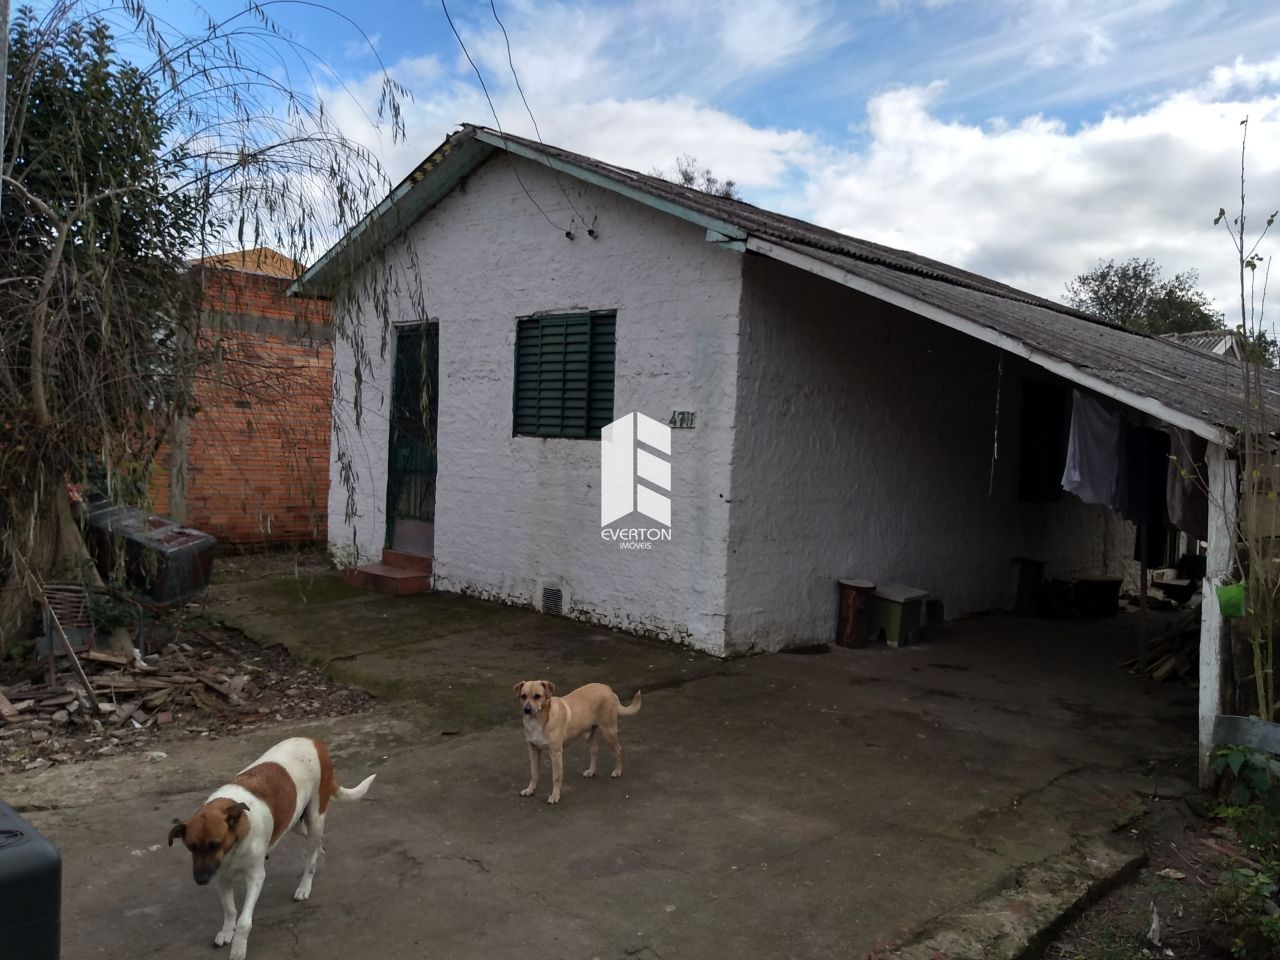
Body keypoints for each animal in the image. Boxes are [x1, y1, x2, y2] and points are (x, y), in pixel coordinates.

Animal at [167, 742, 373, 957]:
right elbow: (230, 910)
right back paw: (319, 860)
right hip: (294, 822)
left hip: (315, 817)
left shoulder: (255, 877)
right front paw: (226, 932)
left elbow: (244, 922)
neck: (235, 844)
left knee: (312, 849)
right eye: (191, 847)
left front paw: (238, 950)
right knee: (315, 843)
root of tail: (314, 742)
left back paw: (304, 886)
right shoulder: (222, 878)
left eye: (215, 844)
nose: (201, 880)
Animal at [512, 680, 640, 808]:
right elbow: (534, 774)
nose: (526, 709)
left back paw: (618, 771)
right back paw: (592, 771)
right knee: (595, 750)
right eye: (523, 696)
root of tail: (608, 688)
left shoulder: (555, 753)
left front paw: (555, 796)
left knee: (618, 749)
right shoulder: (533, 751)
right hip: (589, 733)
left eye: (537, 696)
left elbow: (556, 777)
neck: (537, 720)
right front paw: (530, 790)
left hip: (609, 732)